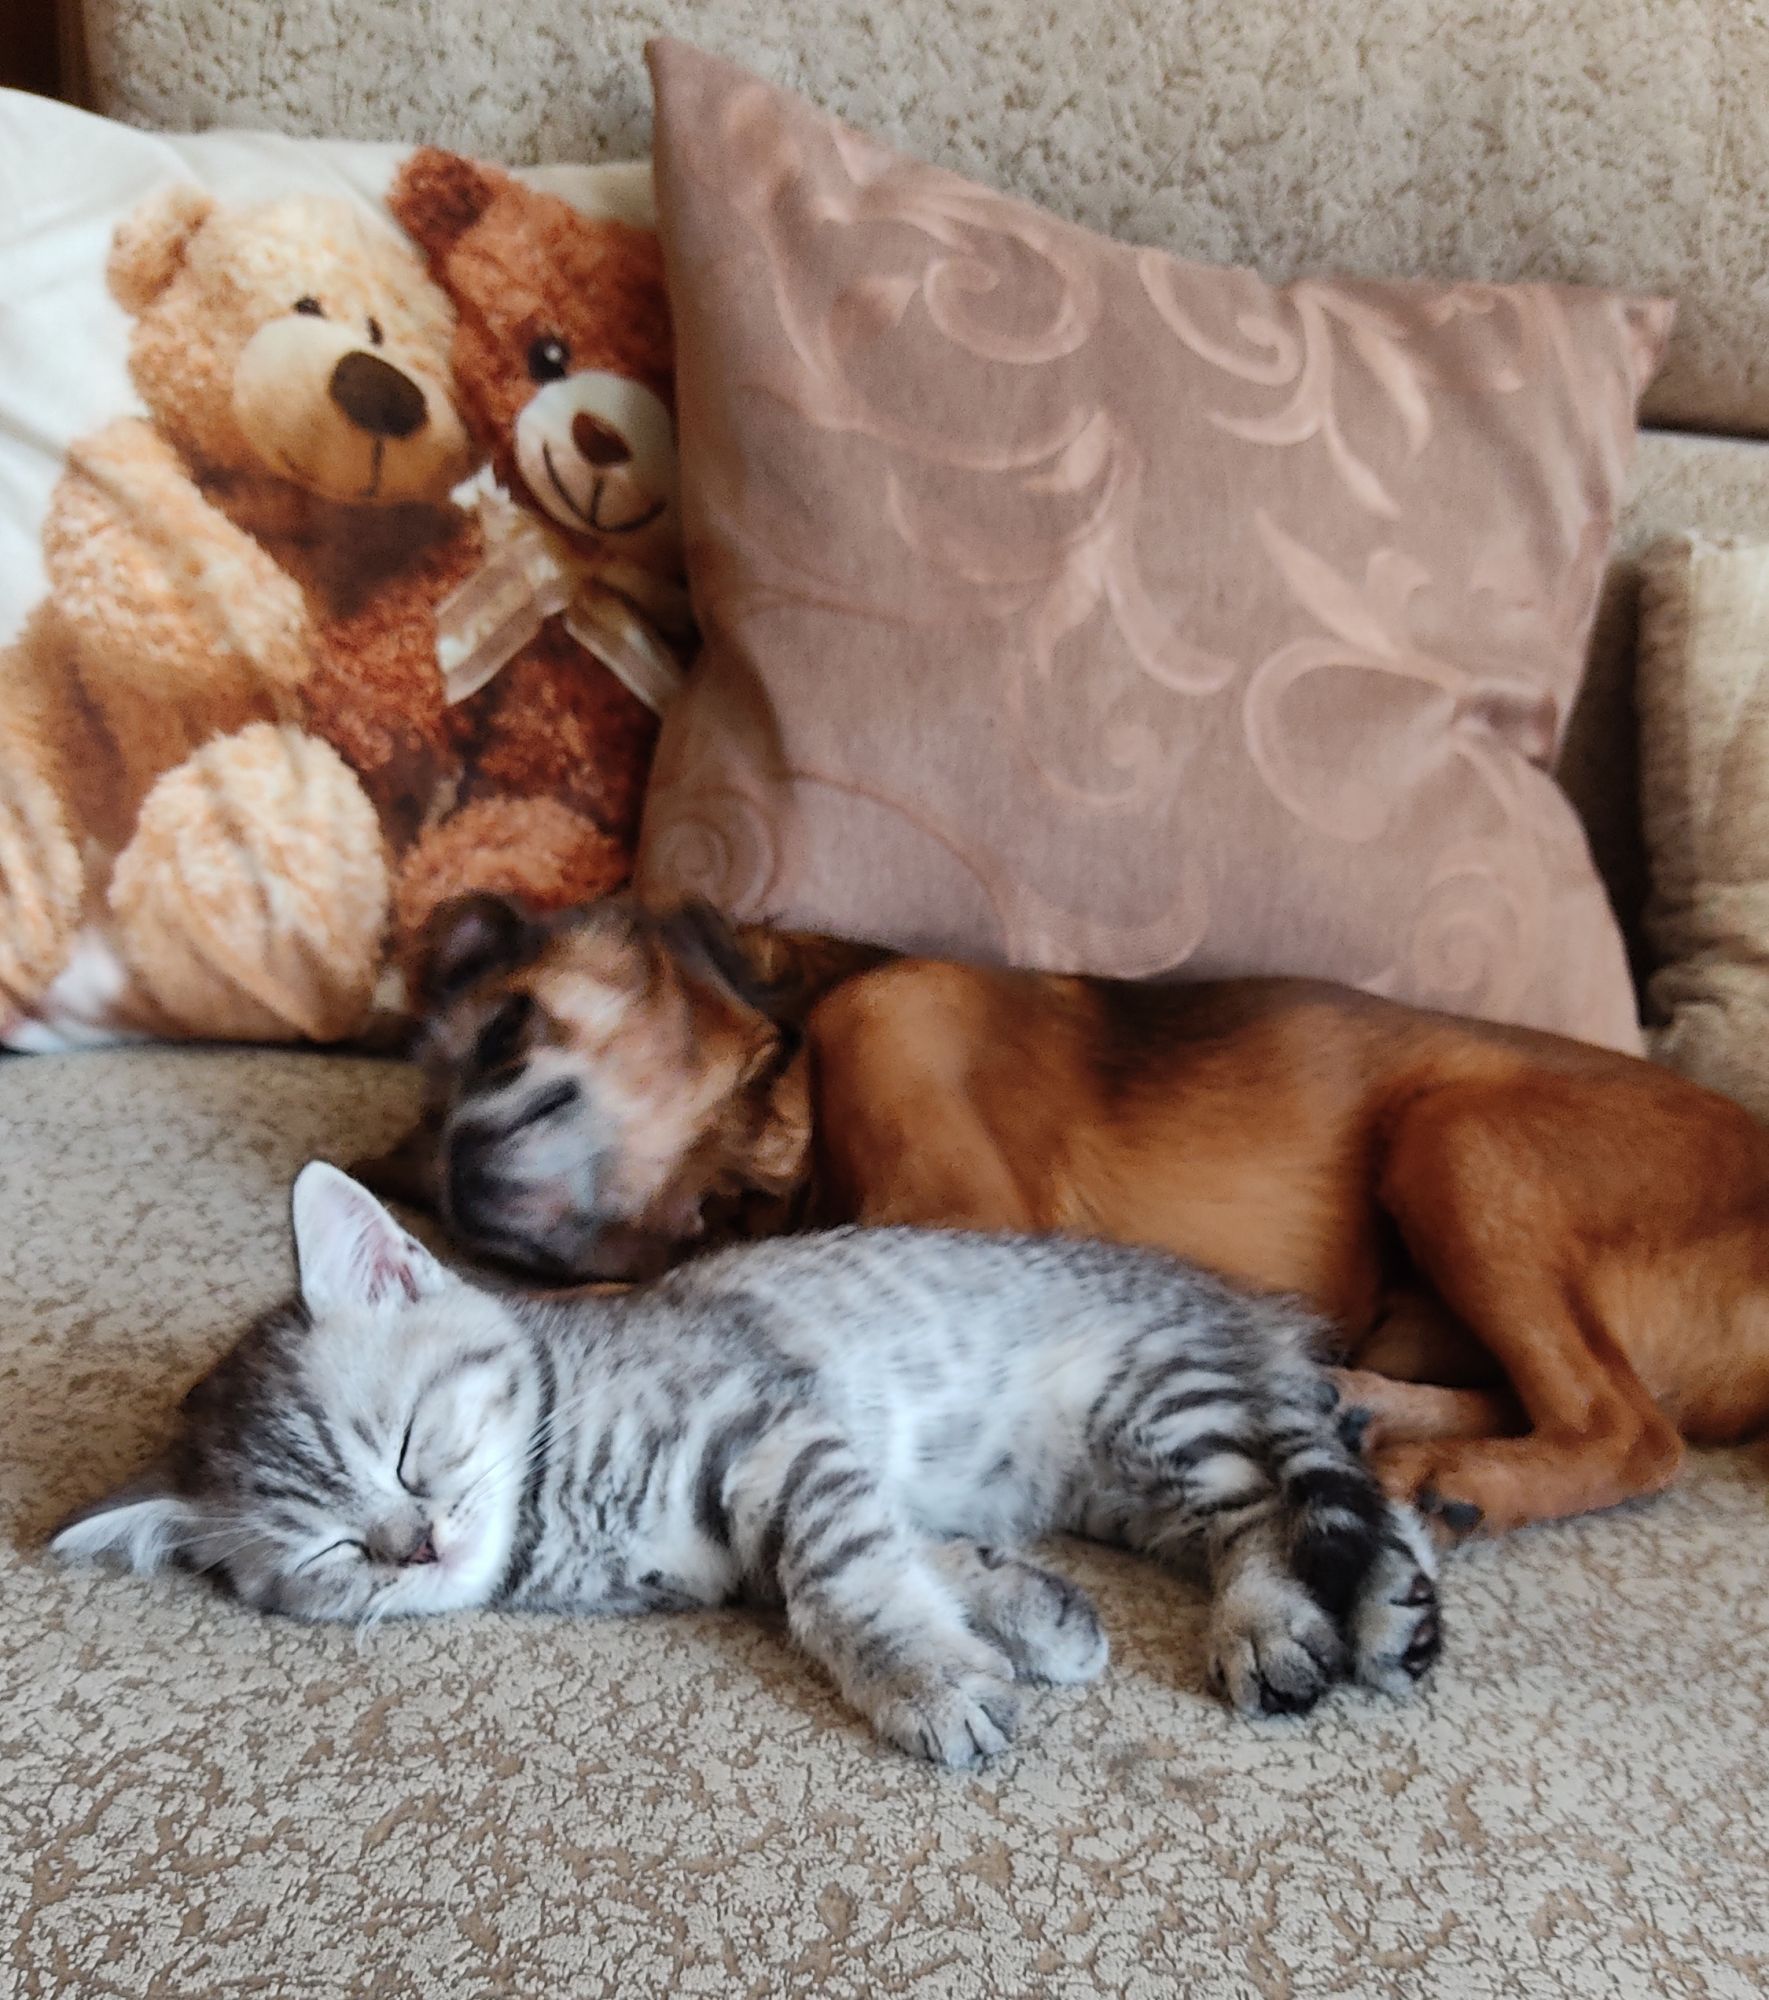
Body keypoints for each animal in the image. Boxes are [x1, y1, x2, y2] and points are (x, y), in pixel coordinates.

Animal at [361, 892, 1769, 1539]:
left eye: (504, 1025)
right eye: (420, 1162)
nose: (453, 1183)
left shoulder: (936, 1158)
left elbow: (682, 1278)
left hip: (1455, 1134)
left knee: (1631, 1427)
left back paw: (1464, 1480)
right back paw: (1376, 1413)